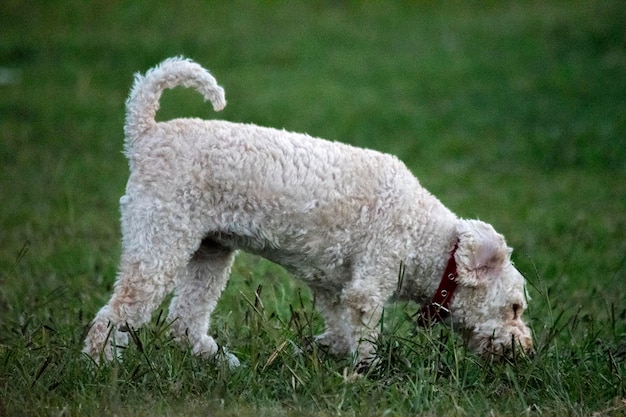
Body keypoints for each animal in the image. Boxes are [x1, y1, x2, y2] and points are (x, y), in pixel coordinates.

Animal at [83, 57, 532, 364]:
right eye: (515, 308)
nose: (525, 350)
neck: (430, 241)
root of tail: (146, 133)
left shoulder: (334, 288)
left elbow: (339, 325)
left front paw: (325, 350)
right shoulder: (370, 280)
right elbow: (364, 333)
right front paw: (366, 371)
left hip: (210, 250)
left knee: (184, 318)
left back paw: (216, 360)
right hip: (160, 239)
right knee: (118, 312)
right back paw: (100, 364)